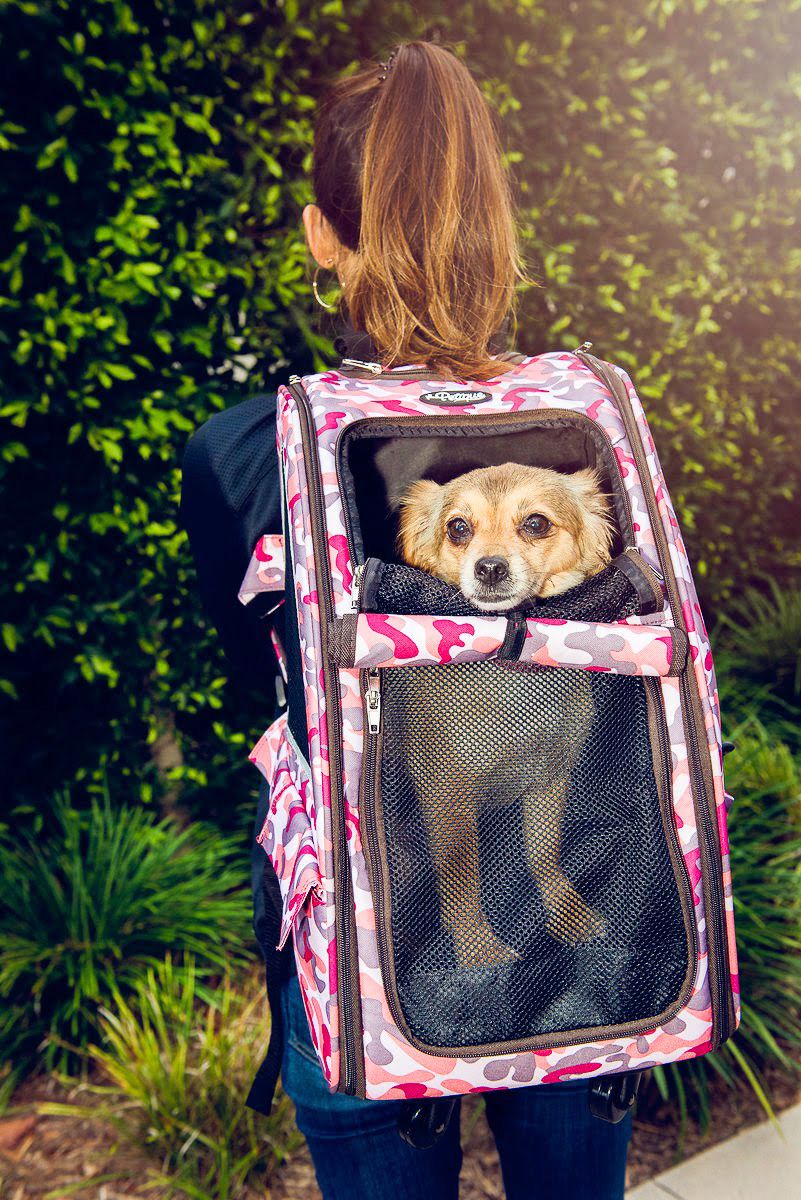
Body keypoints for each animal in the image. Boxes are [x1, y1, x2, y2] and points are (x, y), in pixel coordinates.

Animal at [398, 460, 618, 964]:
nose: (490, 567)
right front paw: (477, 952)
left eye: (535, 523)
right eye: (458, 528)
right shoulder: (447, 795)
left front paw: (567, 915)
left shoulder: (549, 777)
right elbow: (461, 878)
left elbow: (543, 855)